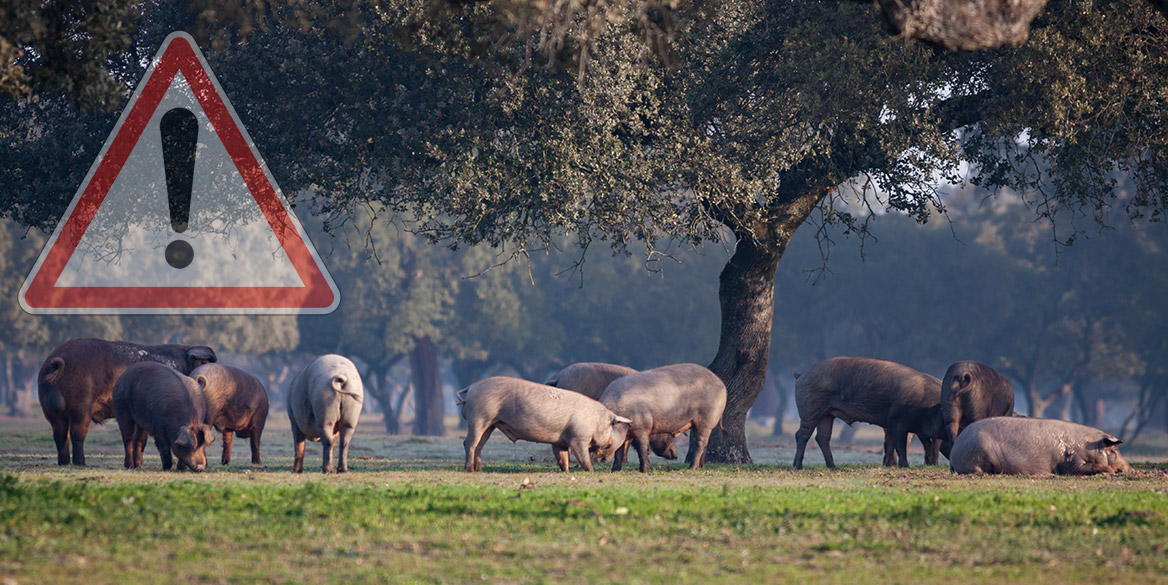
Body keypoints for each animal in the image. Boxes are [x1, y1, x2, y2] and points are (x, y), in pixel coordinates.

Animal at [36, 338, 217, 464]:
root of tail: (58, 361)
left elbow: (140, 440)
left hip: (50, 412)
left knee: (60, 435)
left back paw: (64, 463)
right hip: (81, 405)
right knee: (77, 433)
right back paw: (81, 463)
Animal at [460, 375, 635, 471]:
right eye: (612, 427)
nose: (604, 458)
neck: (595, 420)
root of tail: (471, 387)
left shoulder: (560, 440)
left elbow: (562, 457)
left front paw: (566, 471)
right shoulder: (578, 437)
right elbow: (582, 456)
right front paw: (591, 471)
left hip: (491, 424)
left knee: (479, 445)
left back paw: (479, 470)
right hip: (479, 417)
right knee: (469, 443)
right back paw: (469, 470)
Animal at [794, 354, 948, 469]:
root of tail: (802, 374)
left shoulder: (891, 424)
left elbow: (891, 443)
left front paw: (889, 465)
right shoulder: (899, 422)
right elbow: (902, 444)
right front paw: (905, 466)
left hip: (827, 414)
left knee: (822, 437)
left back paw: (832, 466)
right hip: (810, 409)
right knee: (802, 435)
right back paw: (798, 466)